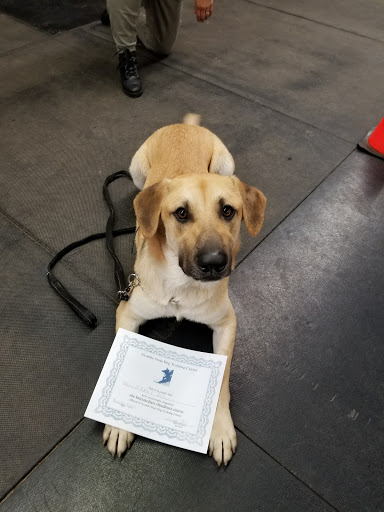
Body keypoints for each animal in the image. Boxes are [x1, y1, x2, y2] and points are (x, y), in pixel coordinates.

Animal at [101, 114, 268, 466]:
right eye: (181, 213)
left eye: (228, 211)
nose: (214, 262)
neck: (183, 287)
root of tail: (184, 123)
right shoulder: (128, 312)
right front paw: (118, 424)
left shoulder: (227, 324)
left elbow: (222, 381)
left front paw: (219, 428)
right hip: (137, 169)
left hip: (225, 162)